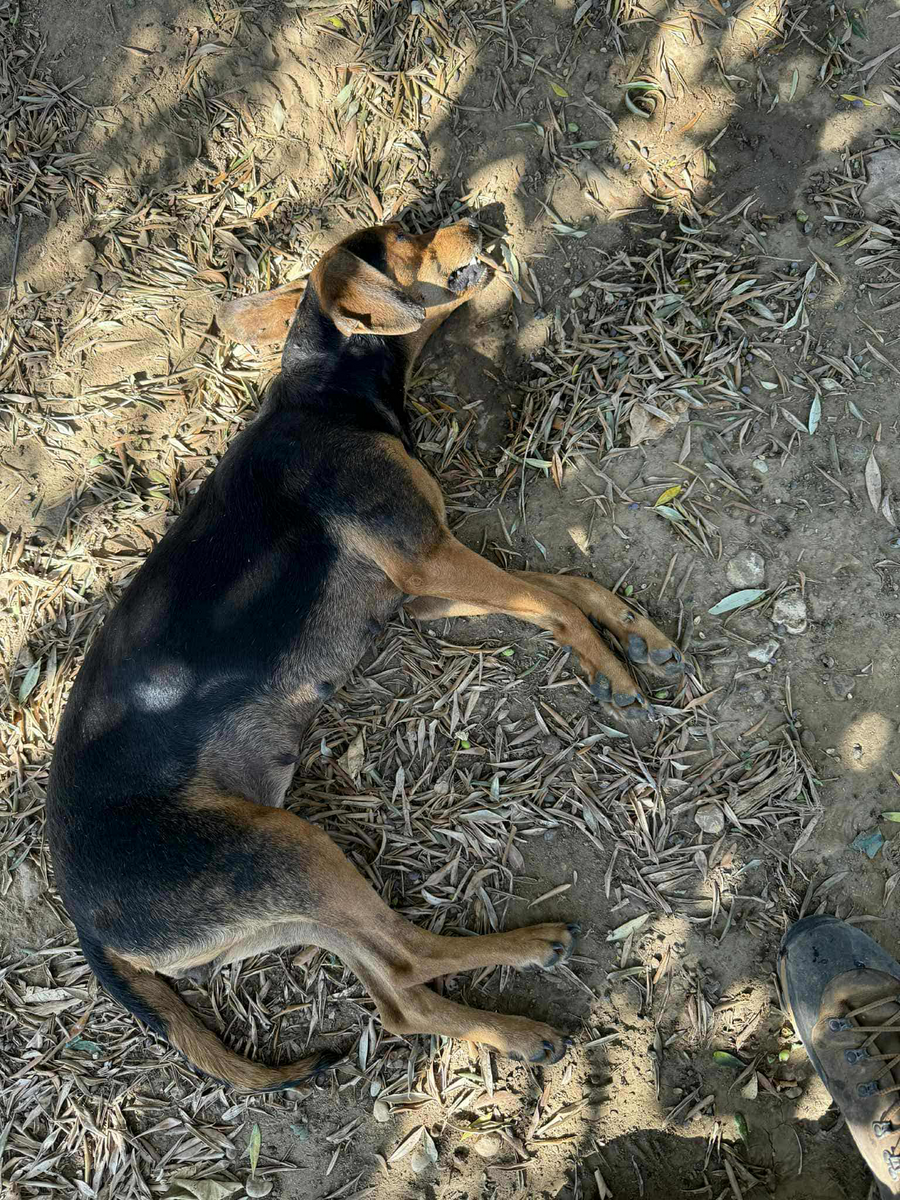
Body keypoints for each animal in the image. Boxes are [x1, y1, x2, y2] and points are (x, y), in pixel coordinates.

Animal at [46, 218, 684, 1091]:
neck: (326, 396)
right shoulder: (428, 558)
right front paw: (610, 663)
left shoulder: (419, 589)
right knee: (409, 957)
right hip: (283, 851)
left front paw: (634, 633)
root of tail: (83, 923)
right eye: (405, 236)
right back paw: (528, 948)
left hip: (281, 901)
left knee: (397, 997)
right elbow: (553, 600)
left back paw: (512, 1032)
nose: (471, 217)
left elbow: (564, 582)